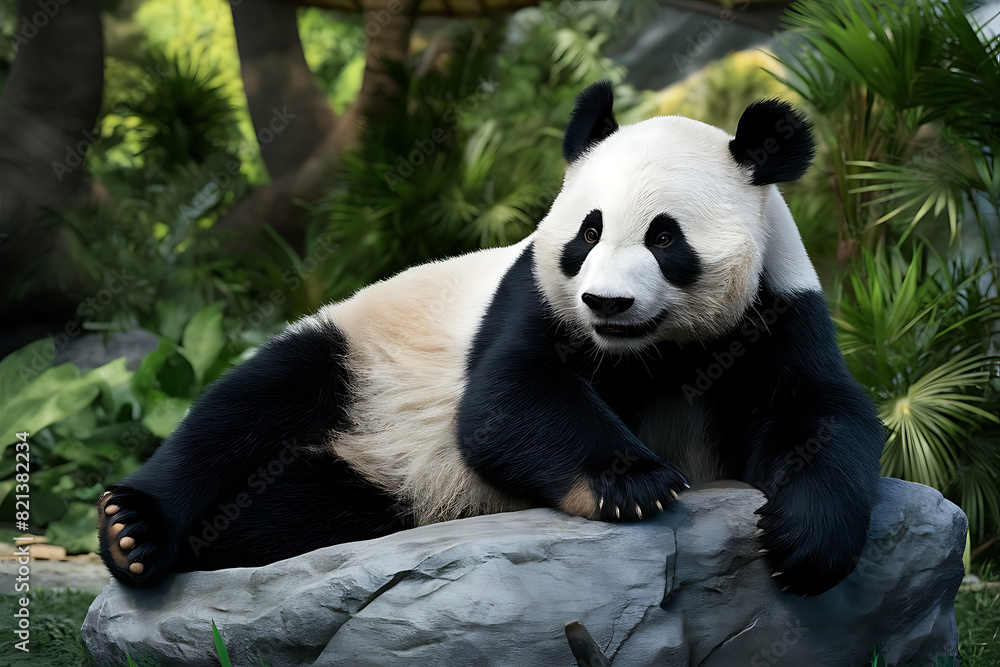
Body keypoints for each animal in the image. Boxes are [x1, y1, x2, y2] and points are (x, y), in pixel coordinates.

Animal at [98, 81, 884, 597]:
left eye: (665, 238)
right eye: (588, 231)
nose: (606, 301)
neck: (650, 351)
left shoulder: (776, 311)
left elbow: (818, 413)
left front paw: (803, 537)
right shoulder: (531, 296)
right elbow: (507, 399)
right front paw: (632, 482)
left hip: (379, 485)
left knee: (296, 508)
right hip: (360, 358)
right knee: (244, 411)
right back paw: (134, 532)